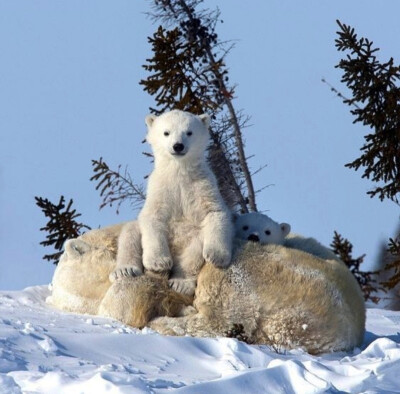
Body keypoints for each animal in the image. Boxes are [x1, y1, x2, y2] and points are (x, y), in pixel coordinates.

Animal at [112, 108, 233, 296]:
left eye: (189, 132)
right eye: (166, 132)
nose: (178, 146)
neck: (179, 171)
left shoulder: (204, 186)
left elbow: (215, 212)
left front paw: (216, 256)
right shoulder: (160, 189)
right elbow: (152, 217)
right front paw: (158, 262)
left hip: (193, 238)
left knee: (193, 253)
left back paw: (180, 282)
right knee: (130, 234)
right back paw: (126, 270)